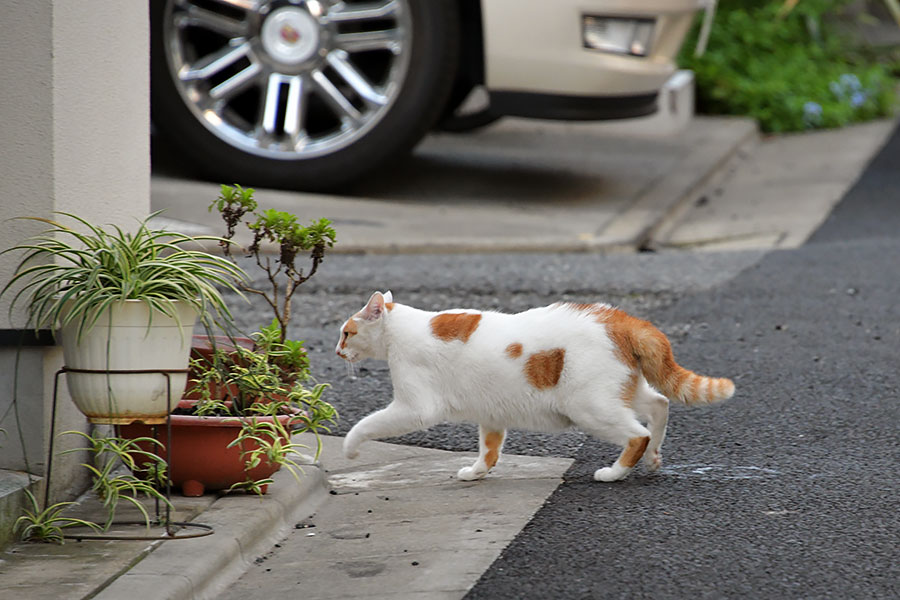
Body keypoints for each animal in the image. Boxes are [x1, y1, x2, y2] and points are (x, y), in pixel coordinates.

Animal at [334, 290, 736, 482]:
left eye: (346, 333)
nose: (337, 350)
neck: (401, 328)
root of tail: (619, 318)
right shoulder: (491, 413)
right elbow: (490, 450)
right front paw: (477, 473)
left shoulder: (414, 409)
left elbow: (366, 424)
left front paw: (350, 450)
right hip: (621, 391)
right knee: (659, 405)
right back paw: (653, 458)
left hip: (590, 408)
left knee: (637, 434)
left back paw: (615, 472)